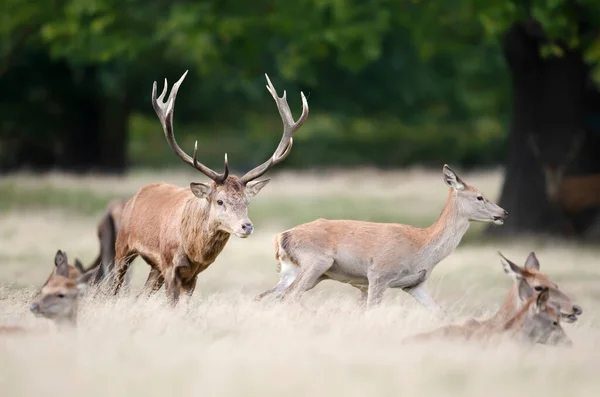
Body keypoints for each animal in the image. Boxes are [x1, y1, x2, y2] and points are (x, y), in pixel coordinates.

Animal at [113, 71, 310, 304]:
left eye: (247, 202)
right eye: (220, 200)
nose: (246, 226)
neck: (192, 249)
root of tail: (137, 195)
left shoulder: (192, 274)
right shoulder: (169, 265)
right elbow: (171, 304)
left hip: (154, 268)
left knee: (141, 294)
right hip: (122, 246)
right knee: (112, 285)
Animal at [256, 163, 506, 312]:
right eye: (480, 197)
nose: (503, 213)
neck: (421, 247)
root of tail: (281, 236)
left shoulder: (416, 284)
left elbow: (440, 313)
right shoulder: (379, 274)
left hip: (295, 271)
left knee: (265, 296)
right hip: (317, 261)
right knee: (289, 296)